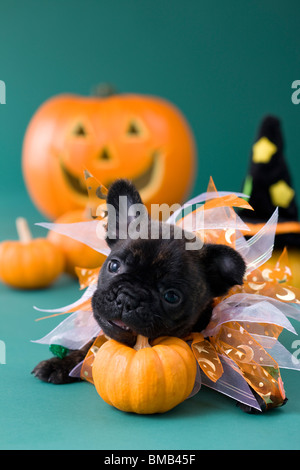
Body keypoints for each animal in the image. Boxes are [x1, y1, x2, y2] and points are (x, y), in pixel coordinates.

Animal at [32, 179, 253, 408]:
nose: (126, 298)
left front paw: (253, 393)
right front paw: (60, 364)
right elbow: (88, 348)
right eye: (113, 266)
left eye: (171, 296)